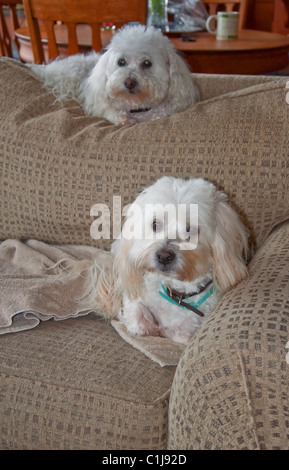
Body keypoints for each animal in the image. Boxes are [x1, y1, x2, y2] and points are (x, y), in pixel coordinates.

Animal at [27, 23, 198, 125]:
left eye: (147, 63)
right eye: (121, 62)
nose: (129, 82)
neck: (136, 109)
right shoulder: (99, 104)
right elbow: (110, 112)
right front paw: (122, 118)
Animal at [79, 176, 248, 346]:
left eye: (190, 229)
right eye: (155, 224)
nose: (164, 256)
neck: (175, 294)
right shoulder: (135, 298)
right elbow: (137, 317)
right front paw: (148, 324)